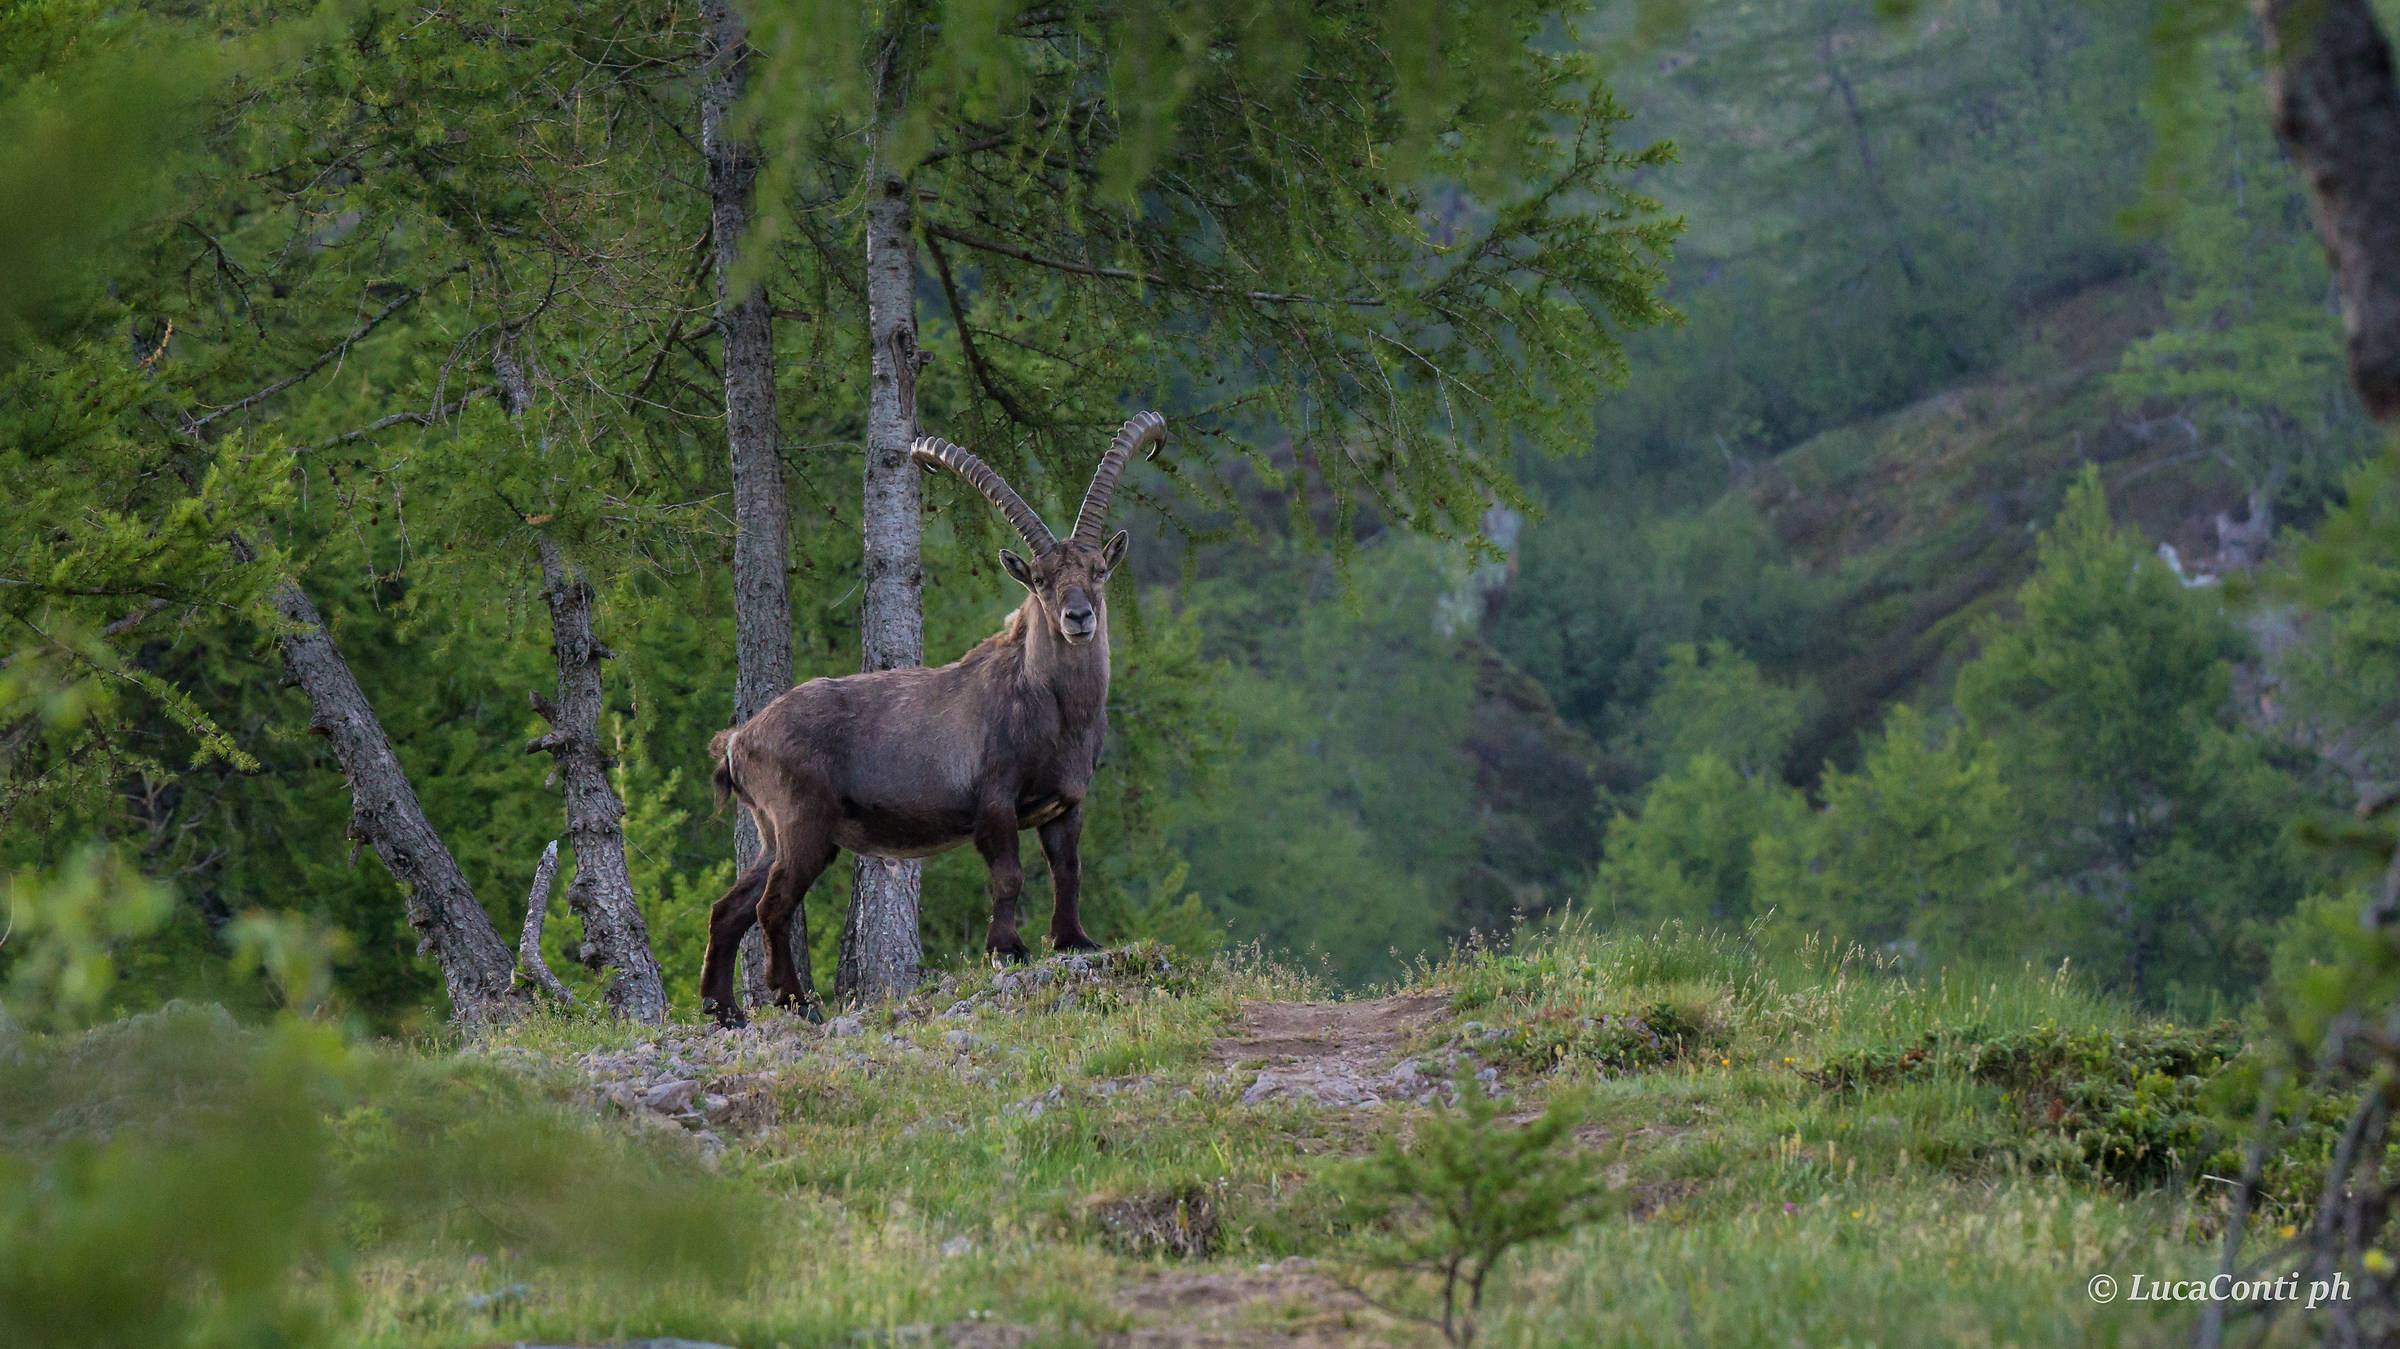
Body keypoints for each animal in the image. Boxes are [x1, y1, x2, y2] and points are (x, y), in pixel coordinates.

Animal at [697, 412, 1166, 1026]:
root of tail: (739, 740)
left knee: (729, 907)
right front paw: (1007, 949)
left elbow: (1068, 870)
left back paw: (722, 1008)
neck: (1052, 708)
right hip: (803, 824)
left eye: (1099, 570)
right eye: (1039, 579)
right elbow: (1009, 875)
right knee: (773, 905)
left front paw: (1074, 942)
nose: (1078, 616)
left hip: (770, 832)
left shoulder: (1066, 804)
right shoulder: (995, 799)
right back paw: (795, 1001)